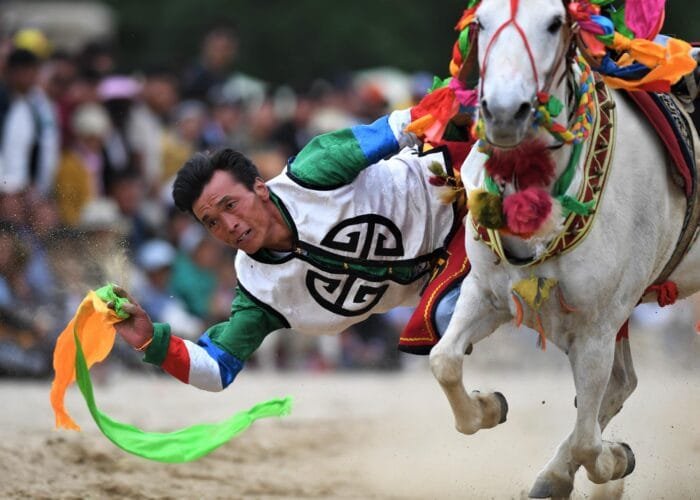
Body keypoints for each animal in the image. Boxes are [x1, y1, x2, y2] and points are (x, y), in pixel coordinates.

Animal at [428, 0, 700, 497]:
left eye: (555, 23)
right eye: (481, 22)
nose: (504, 113)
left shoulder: (597, 327)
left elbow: (590, 442)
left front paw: (613, 459)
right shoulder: (486, 292)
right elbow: (445, 361)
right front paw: (489, 406)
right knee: (622, 385)